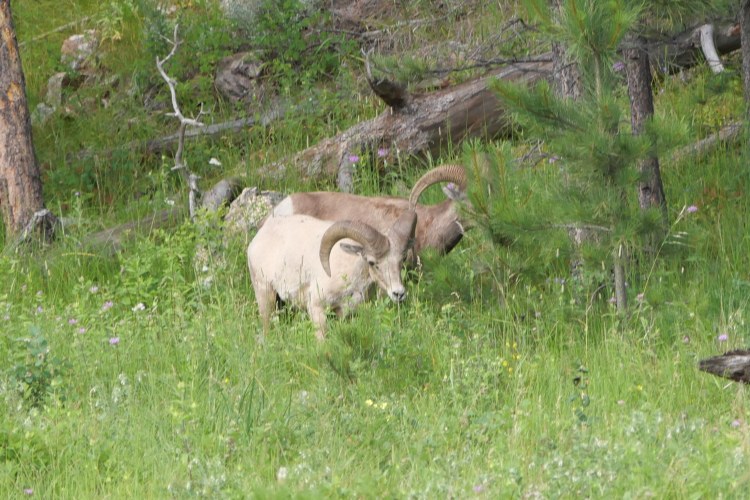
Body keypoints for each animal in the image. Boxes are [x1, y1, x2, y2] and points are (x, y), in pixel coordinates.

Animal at [247, 209, 417, 340]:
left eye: (402, 259)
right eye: (372, 262)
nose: (398, 293)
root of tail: (260, 235)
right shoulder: (317, 308)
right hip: (265, 295)